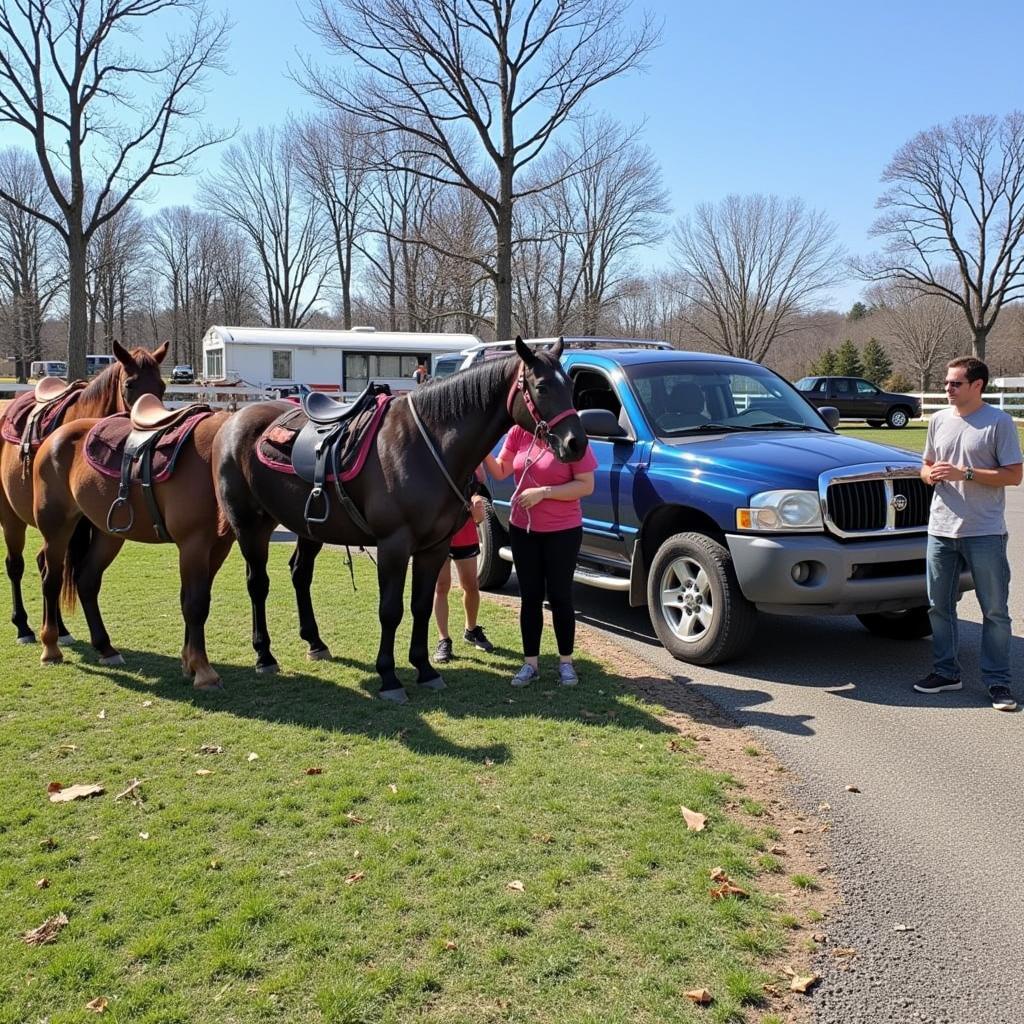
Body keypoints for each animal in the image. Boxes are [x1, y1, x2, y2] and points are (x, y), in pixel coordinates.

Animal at [0, 344, 165, 647]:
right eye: (130, 384)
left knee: (45, 564)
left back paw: (60, 629)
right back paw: (24, 627)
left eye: (161, 386)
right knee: (16, 565)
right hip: (11, 517)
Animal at [30, 407, 234, 688]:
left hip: (107, 535)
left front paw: (189, 663)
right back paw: (50, 649)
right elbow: (195, 604)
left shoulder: (217, 547)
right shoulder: (193, 545)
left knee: (86, 581)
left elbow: (191, 600)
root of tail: (54, 438)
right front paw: (204, 671)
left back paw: (106, 648)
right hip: (57, 530)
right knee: (51, 581)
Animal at [211, 335, 589, 704]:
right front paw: (389, 677)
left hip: (310, 528)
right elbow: (390, 610)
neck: (427, 446)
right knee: (257, 584)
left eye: (572, 386)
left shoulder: (434, 547)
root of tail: (231, 420)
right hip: (250, 525)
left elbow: (421, 606)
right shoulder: (394, 546)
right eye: (541, 387)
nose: (577, 444)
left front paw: (425, 670)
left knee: (300, 575)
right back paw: (264, 655)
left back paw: (316, 643)